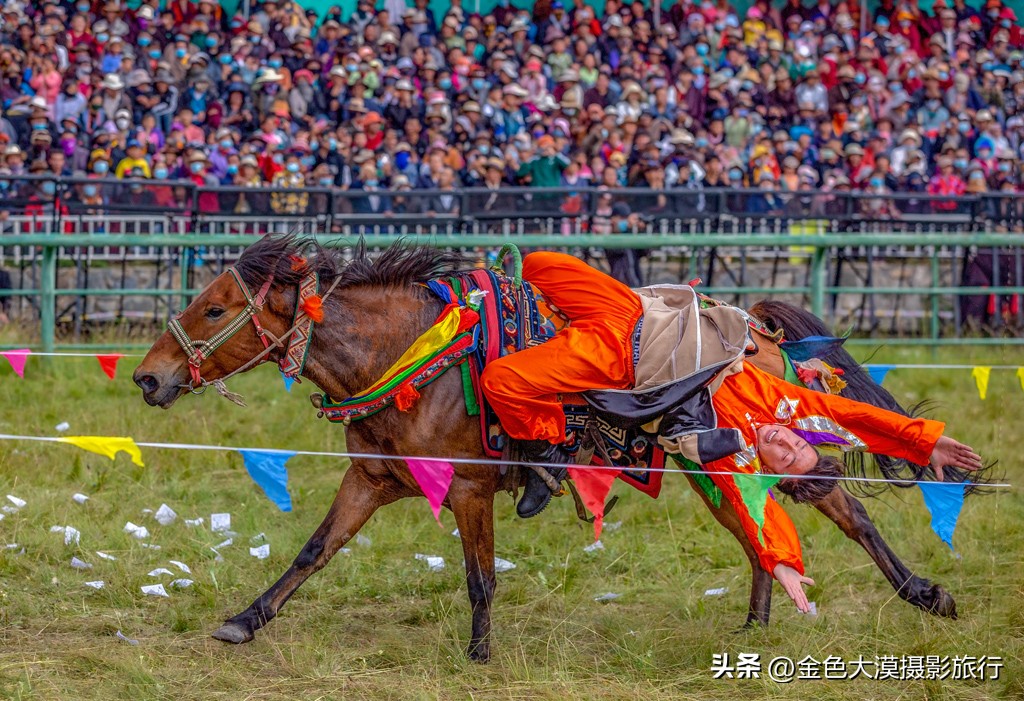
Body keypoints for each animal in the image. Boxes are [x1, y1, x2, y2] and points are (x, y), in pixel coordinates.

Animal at [132, 236, 983, 662]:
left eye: (214, 307)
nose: (148, 377)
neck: (406, 356)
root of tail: (755, 331)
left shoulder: (469, 487)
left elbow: (479, 577)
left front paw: (479, 653)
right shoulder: (370, 479)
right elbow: (312, 551)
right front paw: (244, 620)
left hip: (753, 445)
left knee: (839, 504)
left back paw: (925, 592)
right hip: (708, 457)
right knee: (757, 530)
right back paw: (756, 626)